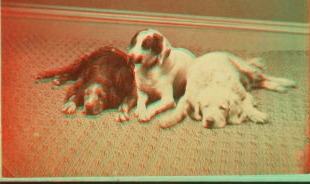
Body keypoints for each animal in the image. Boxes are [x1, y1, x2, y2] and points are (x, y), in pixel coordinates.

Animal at [159, 52, 296, 129]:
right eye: (205, 106)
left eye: (223, 108)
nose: (210, 121)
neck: (213, 82)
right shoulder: (188, 96)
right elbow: (179, 109)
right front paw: (169, 119)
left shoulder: (244, 95)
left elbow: (247, 105)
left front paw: (257, 115)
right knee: (258, 82)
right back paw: (277, 86)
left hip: (244, 67)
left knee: (262, 75)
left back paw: (284, 82)